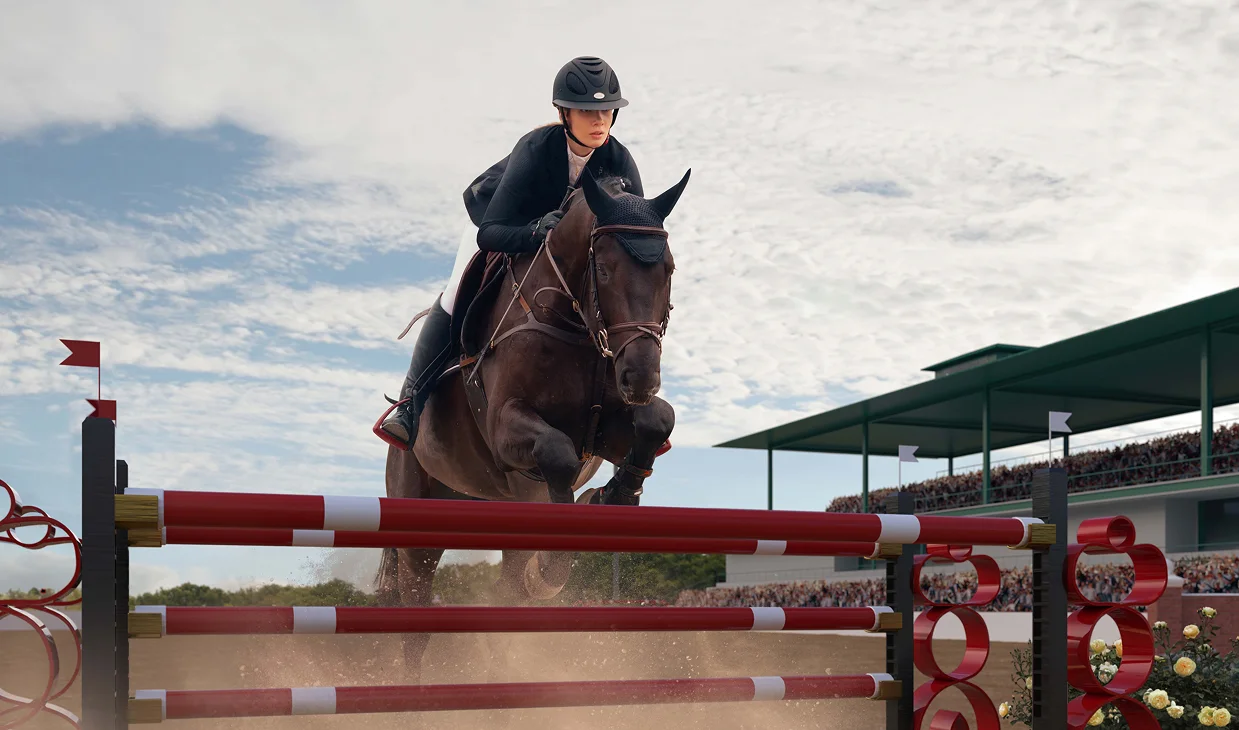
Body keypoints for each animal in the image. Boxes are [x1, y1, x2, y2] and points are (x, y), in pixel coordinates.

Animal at [374, 167, 690, 681]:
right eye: (604, 269)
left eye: (669, 269)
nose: (642, 376)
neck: (573, 323)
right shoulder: (508, 429)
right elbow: (556, 453)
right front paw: (553, 564)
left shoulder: (607, 430)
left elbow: (656, 421)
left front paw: (614, 497)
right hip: (418, 514)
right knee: (414, 616)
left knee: (505, 595)